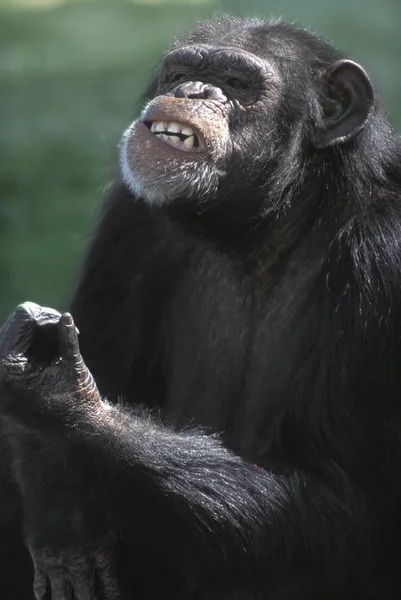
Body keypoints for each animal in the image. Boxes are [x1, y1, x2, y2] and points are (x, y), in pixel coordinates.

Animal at [0, 12, 400, 600]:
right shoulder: (131, 218)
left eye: (236, 84)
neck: (266, 221)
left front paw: (60, 391)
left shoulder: (384, 255)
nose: (192, 91)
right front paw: (62, 520)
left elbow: (340, 504)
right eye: (182, 71)